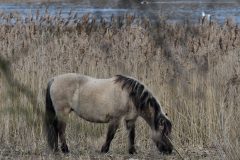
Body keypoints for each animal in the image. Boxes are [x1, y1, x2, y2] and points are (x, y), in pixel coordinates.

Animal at [44, 73, 172, 154]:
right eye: (164, 132)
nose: (170, 150)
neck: (129, 96)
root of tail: (54, 79)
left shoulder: (130, 120)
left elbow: (131, 135)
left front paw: (132, 151)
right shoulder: (115, 119)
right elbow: (110, 135)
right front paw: (104, 150)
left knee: (55, 128)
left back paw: (56, 149)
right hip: (63, 113)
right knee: (60, 129)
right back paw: (65, 149)